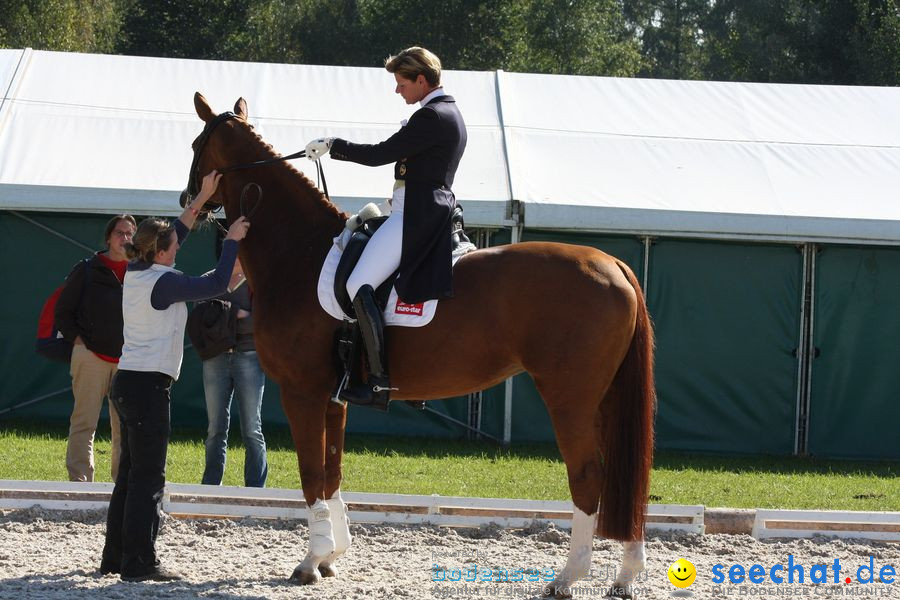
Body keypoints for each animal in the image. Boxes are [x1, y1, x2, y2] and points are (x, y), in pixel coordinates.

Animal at [188, 91, 652, 596]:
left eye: (196, 144)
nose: (186, 202)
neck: (299, 253)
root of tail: (613, 264)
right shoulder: (335, 397)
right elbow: (332, 473)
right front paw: (332, 556)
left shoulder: (302, 392)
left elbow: (311, 475)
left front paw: (310, 562)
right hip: (604, 399)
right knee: (625, 478)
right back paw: (625, 577)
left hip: (570, 398)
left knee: (588, 476)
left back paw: (568, 577)